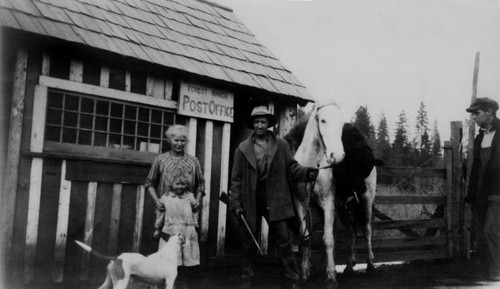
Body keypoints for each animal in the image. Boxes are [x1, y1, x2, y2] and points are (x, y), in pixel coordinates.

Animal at [292, 102, 376, 286]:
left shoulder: (328, 204)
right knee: (351, 231)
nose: (337, 155)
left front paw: (331, 276)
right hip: (343, 206)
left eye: (341, 124)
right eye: (323, 120)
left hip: (366, 201)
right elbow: (305, 238)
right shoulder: (301, 203)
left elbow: (328, 239)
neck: (310, 167)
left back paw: (370, 266)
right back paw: (349, 267)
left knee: (367, 230)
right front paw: (304, 273)